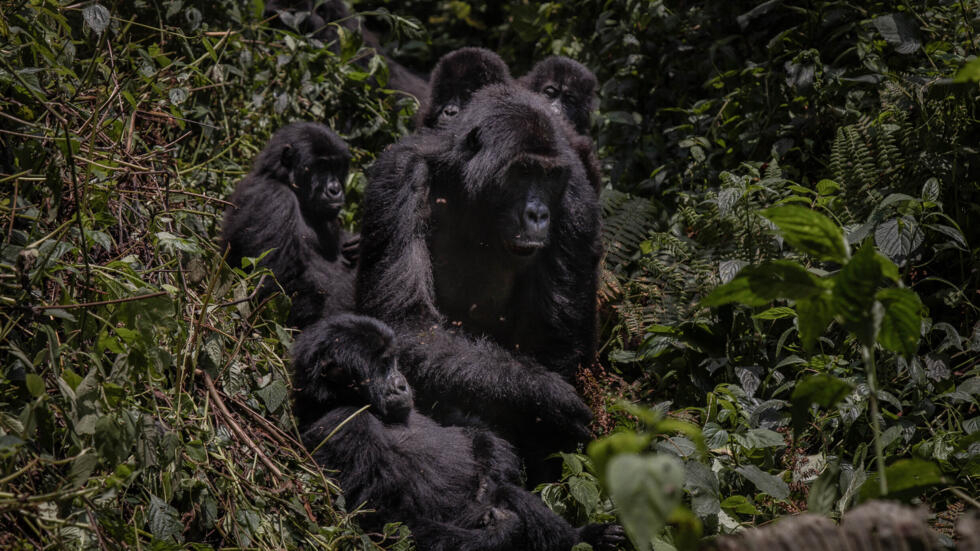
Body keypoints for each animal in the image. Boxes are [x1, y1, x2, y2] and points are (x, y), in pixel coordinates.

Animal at [294, 314, 624, 551]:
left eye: (393, 362)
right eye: (382, 366)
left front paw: (492, 461)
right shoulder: (344, 429)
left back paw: (583, 538)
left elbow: (466, 427)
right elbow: (382, 519)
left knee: (507, 492)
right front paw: (500, 531)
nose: (401, 383)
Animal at [356, 83, 600, 484]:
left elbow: (557, 344)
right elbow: (404, 322)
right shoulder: (399, 174)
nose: (538, 214)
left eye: (550, 177)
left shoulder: (578, 201)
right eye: (524, 171)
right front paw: (542, 395)